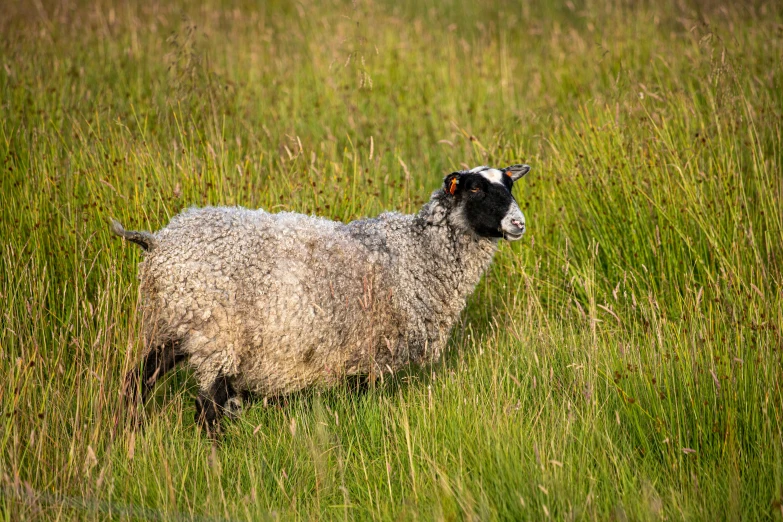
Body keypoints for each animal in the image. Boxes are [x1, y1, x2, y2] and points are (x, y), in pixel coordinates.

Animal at [115, 162, 532, 430]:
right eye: (475, 188)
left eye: (509, 186)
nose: (518, 224)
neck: (415, 255)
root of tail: (159, 241)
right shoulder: (369, 352)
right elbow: (364, 401)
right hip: (215, 332)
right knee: (205, 407)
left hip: (177, 322)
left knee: (139, 379)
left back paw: (128, 431)